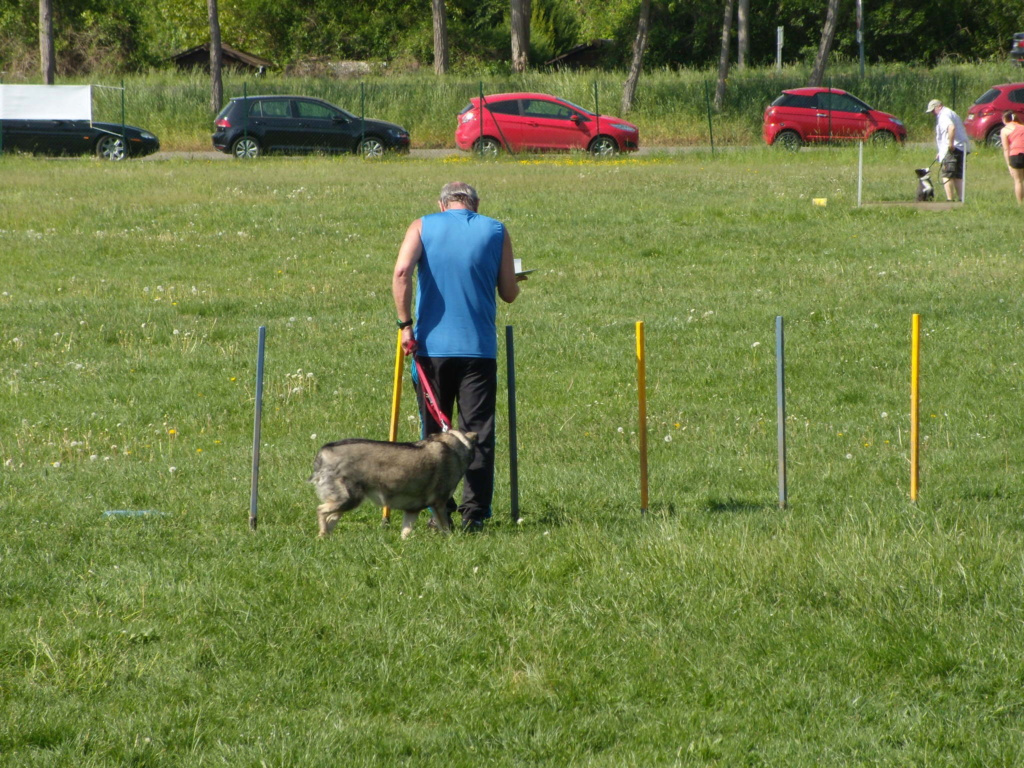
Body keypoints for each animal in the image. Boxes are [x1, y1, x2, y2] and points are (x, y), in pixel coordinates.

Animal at [307, 434, 479, 540]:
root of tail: (324, 452)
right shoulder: (440, 503)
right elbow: (445, 527)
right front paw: (451, 541)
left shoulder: (412, 510)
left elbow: (406, 531)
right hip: (348, 499)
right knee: (321, 510)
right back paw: (322, 533)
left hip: (346, 502)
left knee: (330, 518)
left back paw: (325, 538)